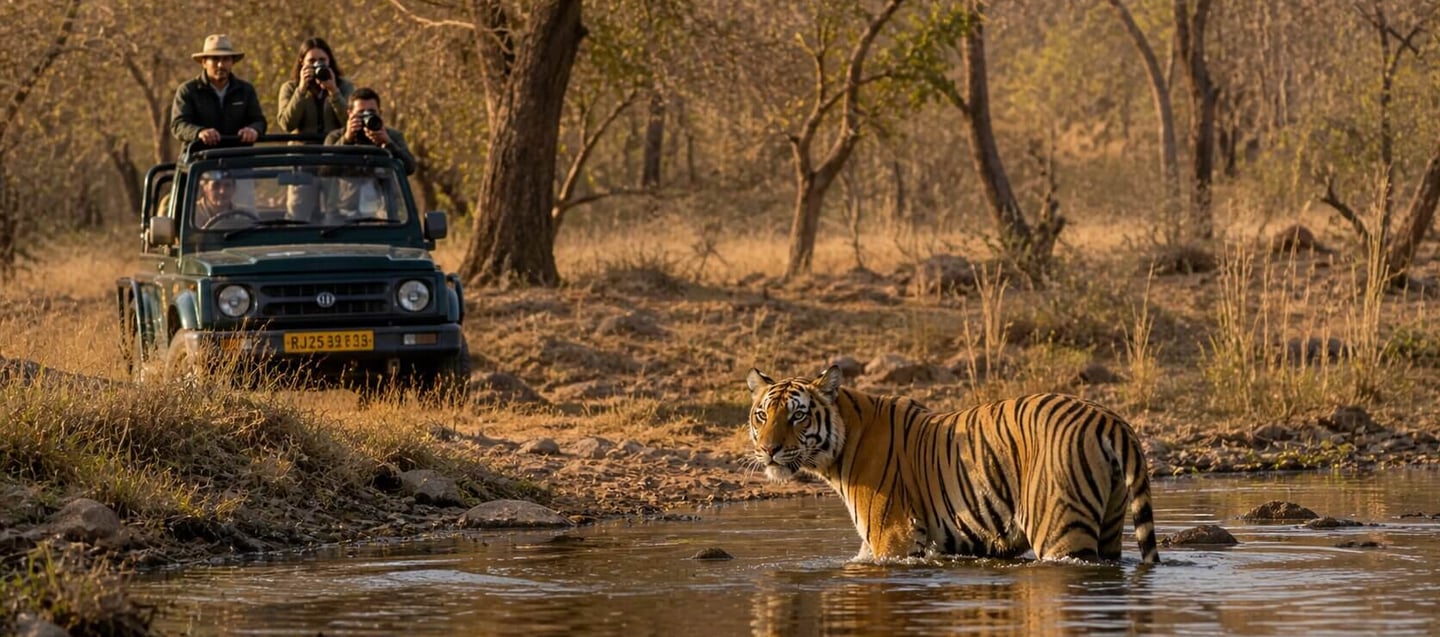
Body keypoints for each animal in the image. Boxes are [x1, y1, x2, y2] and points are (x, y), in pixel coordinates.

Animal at [745, 365, 1159, 564]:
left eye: (797, 416)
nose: (768, 450)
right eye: (762, 415)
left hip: (1060, 532)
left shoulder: (893, 538)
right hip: (1109, 525)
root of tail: (1111, 419)